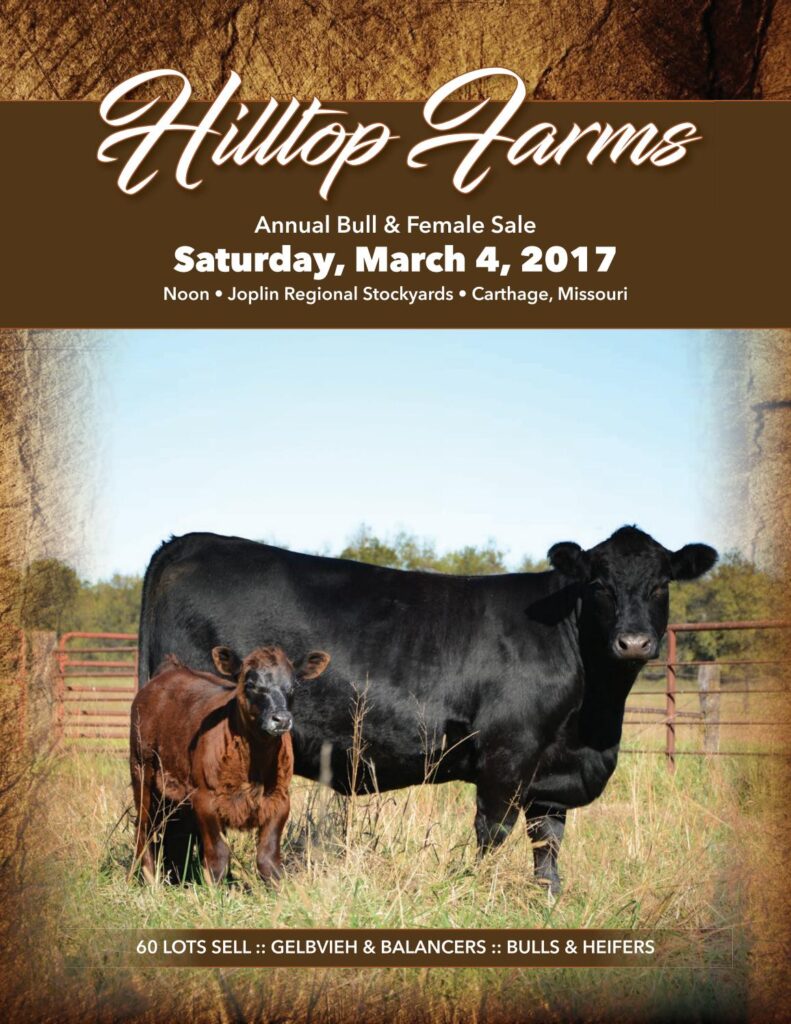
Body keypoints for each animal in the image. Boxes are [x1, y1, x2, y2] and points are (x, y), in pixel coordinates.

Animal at [130, 643, 330, 884]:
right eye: (250, 684)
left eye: (293, 686)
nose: (281, 719)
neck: (255, 765)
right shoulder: (206, 798)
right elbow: (218, 856)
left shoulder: (280, 799)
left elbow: (268, 857)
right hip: (141, 771)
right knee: (144, 829)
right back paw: (150, 879)